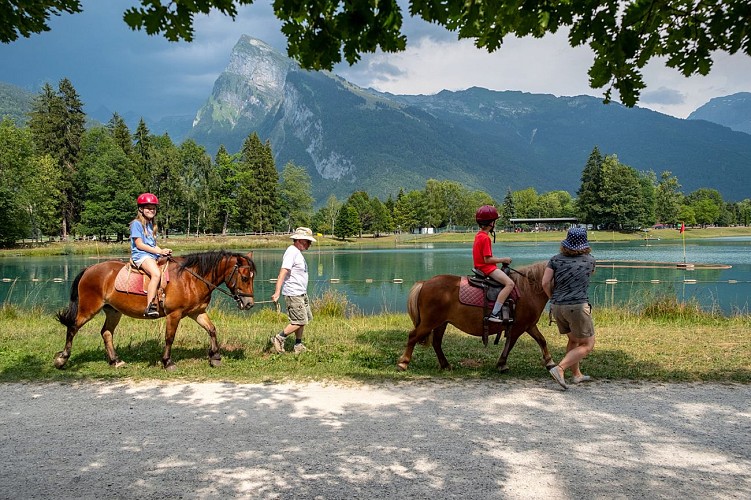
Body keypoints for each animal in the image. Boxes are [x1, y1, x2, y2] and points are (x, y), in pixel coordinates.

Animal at [54, 250, 256, 372]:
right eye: (245, 277)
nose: (249, 304)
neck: (190, 278)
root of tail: (89, 269)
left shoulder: (196, 312)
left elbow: (212, 330)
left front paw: (215, 357)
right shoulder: (175, 314)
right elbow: (169, 338)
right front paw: (167, 362)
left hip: (113, 311)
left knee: (106, 332)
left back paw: (115, 360)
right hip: (88, 309)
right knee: (72, 328)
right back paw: (62, 359)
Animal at [396, 262, 556, 372]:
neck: (527, 290)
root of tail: (424, 283)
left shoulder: (529, 325)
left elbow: (542, 340)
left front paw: (549, 362)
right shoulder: (518, 327)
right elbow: (510, 345)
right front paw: (502, 364)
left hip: (441, 323)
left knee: (436, 342)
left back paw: (445, 365)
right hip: (429, 322)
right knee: (413, 336)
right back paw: (403, 363)